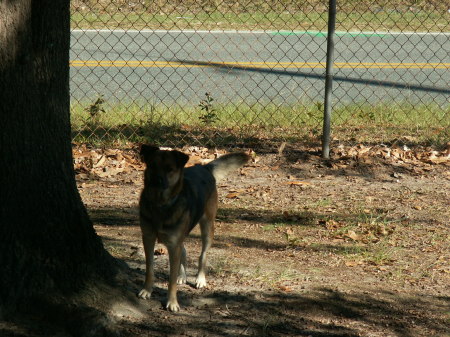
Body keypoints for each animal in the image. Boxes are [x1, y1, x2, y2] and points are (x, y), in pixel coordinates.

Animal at [137, 144, 250, 310]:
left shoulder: (173, 243)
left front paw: (172, 302)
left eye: (169, 169)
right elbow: (149, 268)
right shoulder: (148, 238)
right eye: (152, 165)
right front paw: (147, 290)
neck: (160, 205)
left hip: (207, 227)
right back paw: (182, 275)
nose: (157, 180)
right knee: (183, 250)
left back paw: (200, 279)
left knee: (202, 255)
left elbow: (171, 279)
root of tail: (204, 167)